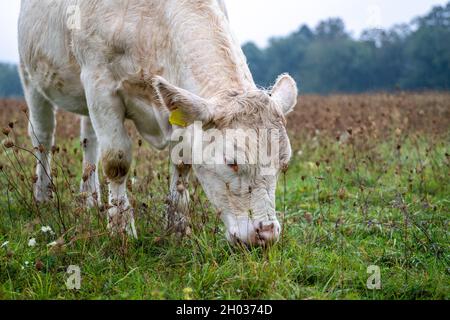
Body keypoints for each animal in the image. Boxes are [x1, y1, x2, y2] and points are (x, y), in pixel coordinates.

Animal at [18, 0, 298, 246]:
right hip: (30, 75)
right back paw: (43, 195)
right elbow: (116, 160)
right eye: (232, 161)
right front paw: (121, 230)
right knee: (43, 136)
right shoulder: (99, 83)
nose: (266, 234)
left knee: (90, 141)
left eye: (283, 163)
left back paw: (90, 200)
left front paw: (178, 229)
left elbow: (182, 164)